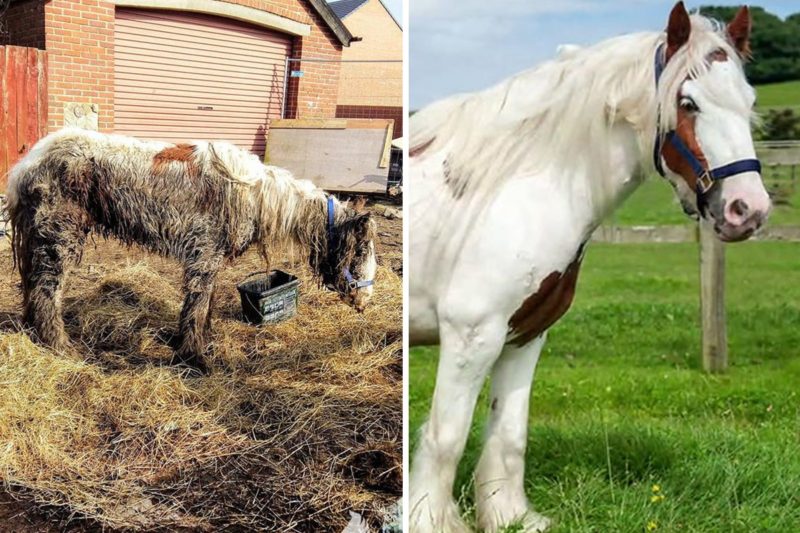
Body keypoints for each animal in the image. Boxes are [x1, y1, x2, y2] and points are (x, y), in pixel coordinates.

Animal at [7, 128, 378, 374]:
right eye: (360, 251)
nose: (365, 302)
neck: (255, 195)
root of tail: (28, 162)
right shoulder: (204, 256)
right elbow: (197, 306)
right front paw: (195, 358)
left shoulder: (209, 259)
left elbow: (205, 305)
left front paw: (200, 343)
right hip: (59, 240)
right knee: (46, 293)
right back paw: (60, 348)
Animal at [412, 4, 768, 532]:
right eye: (688, 102)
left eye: (749, 101)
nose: (748, 209)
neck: (515, 190)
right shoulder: (471, 336)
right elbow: (447, 435)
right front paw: (429, 520)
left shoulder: (524, 334)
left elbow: (509, 433)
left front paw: (508, 515)